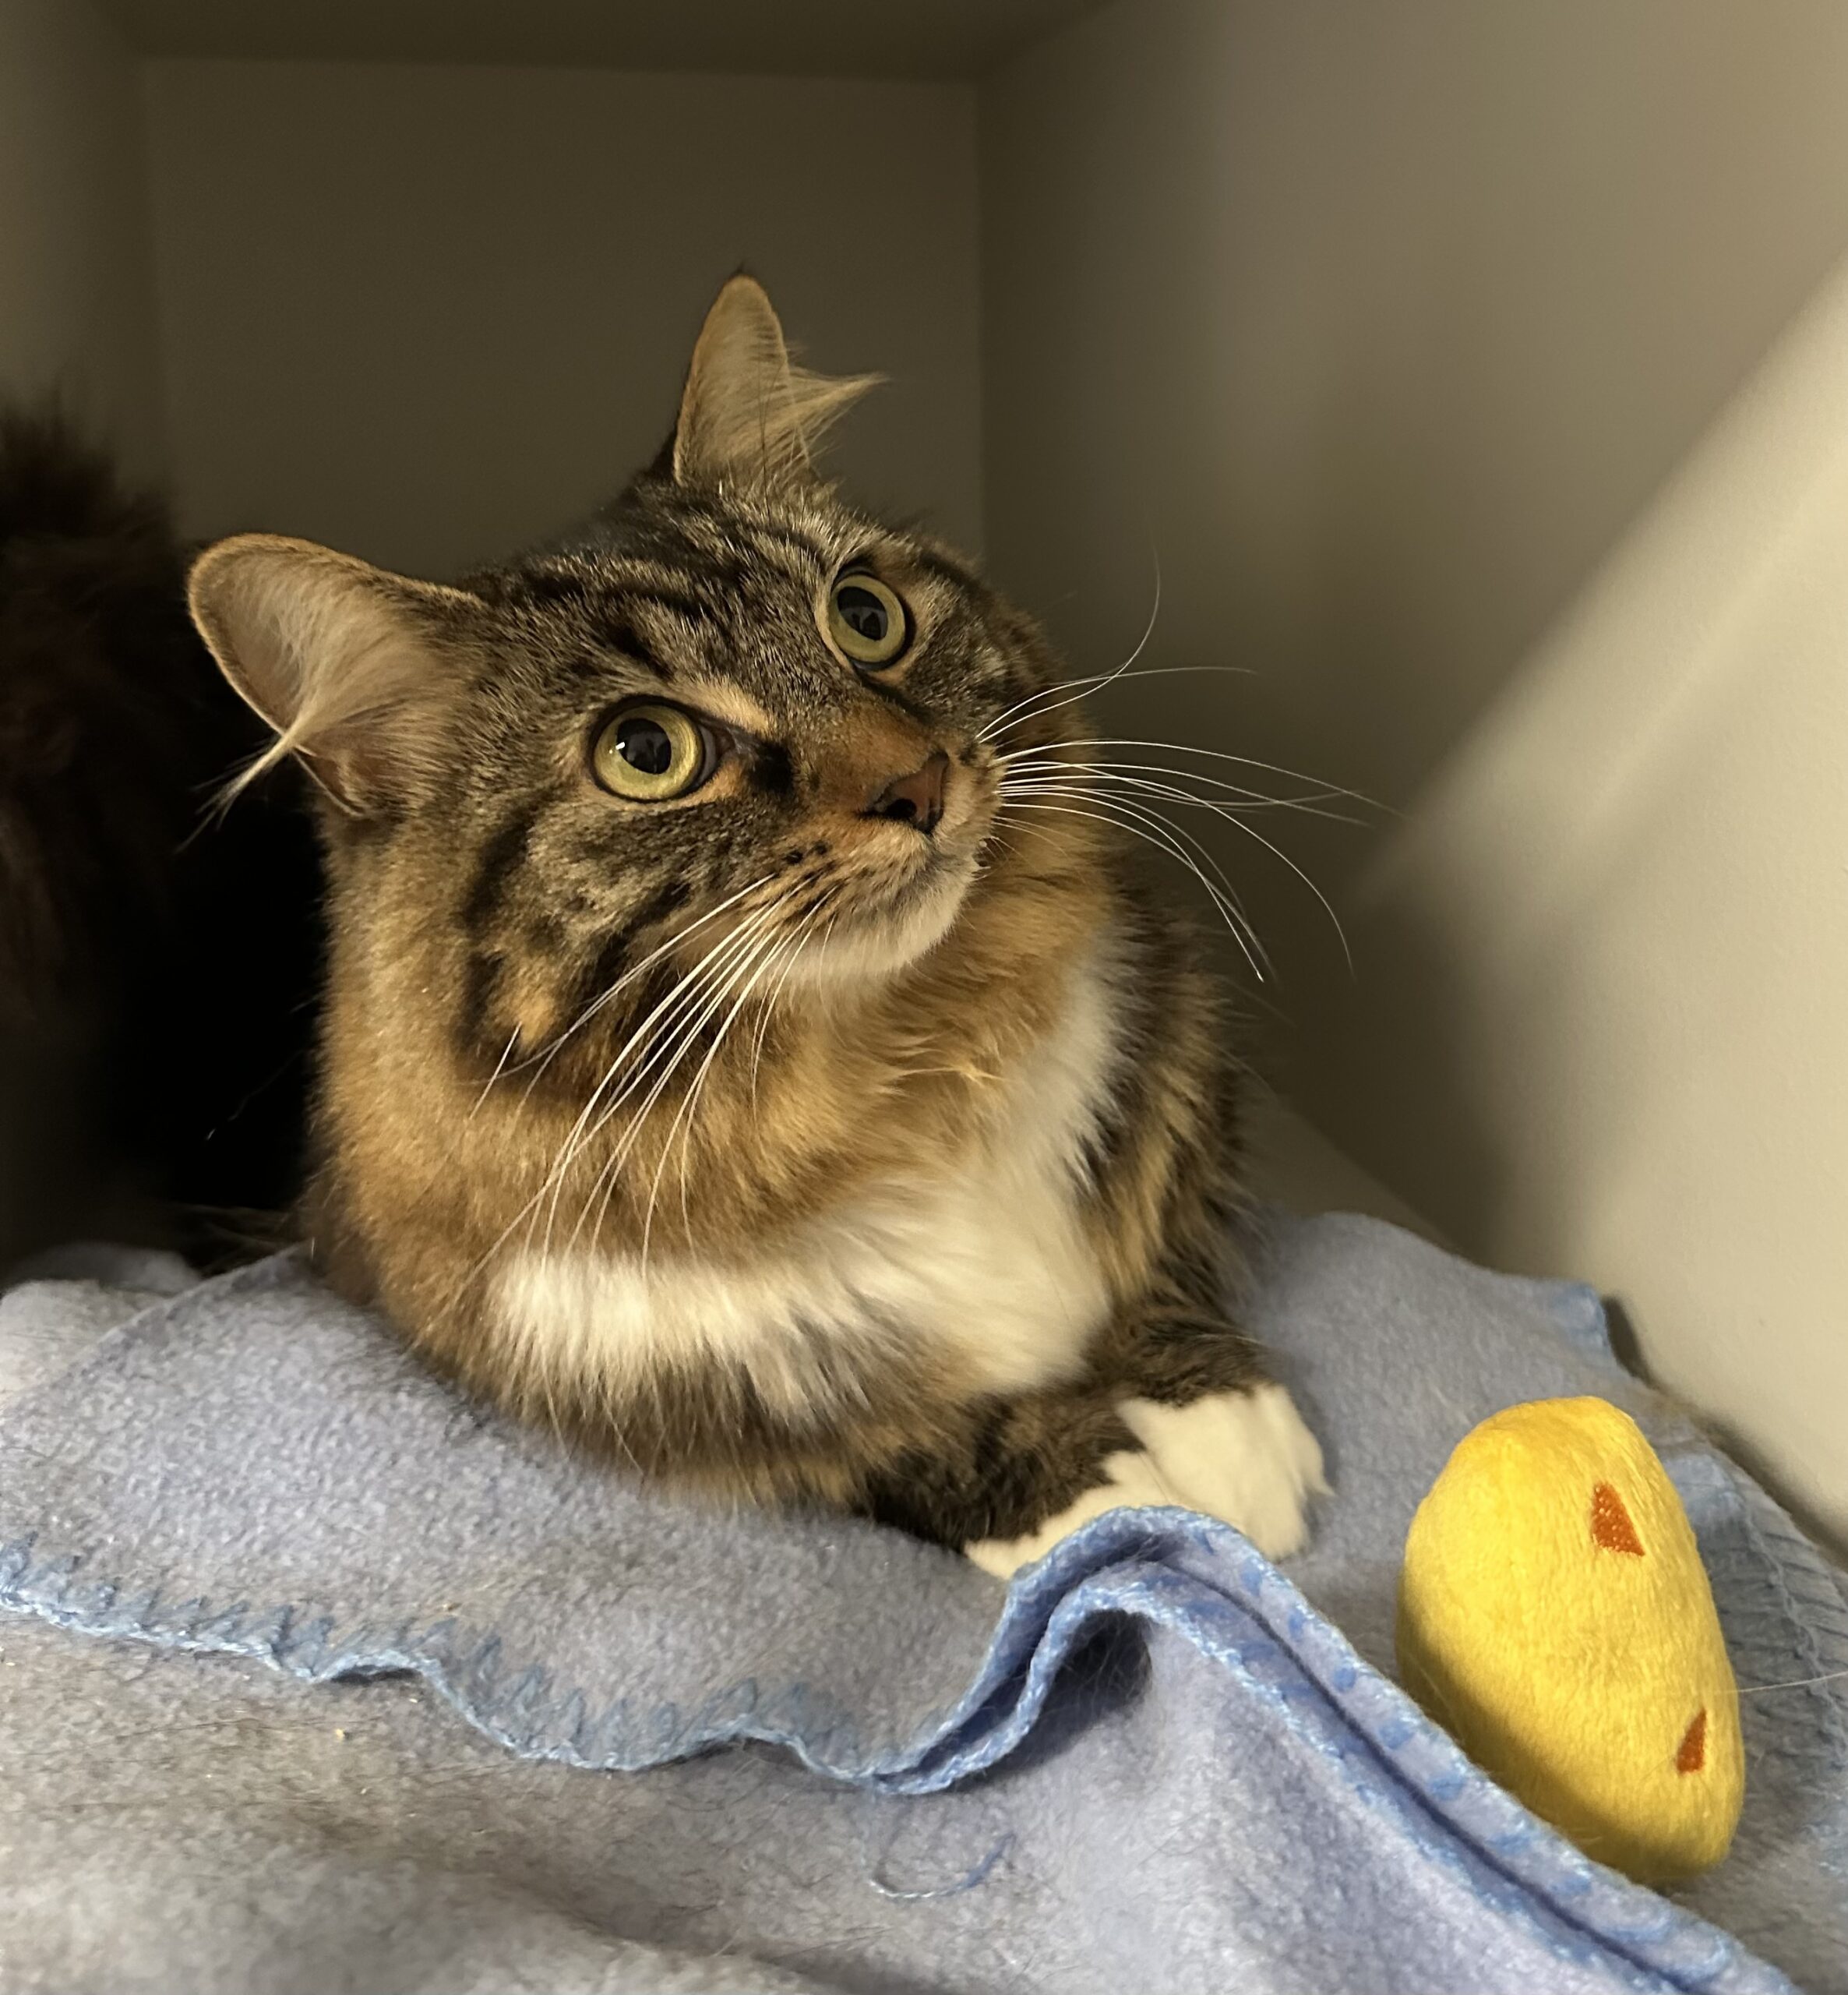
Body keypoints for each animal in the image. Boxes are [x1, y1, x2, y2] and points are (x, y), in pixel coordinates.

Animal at [185, 276, 1326, 1574]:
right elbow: (900, 1440)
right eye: (645, 752)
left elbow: (1159, 1261)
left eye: (866, 617)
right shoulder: (632, 1369)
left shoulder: (1164, 1041)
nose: (919, 783)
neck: (901, 1073)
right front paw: (1104, 1495)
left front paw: (1219, 1416)